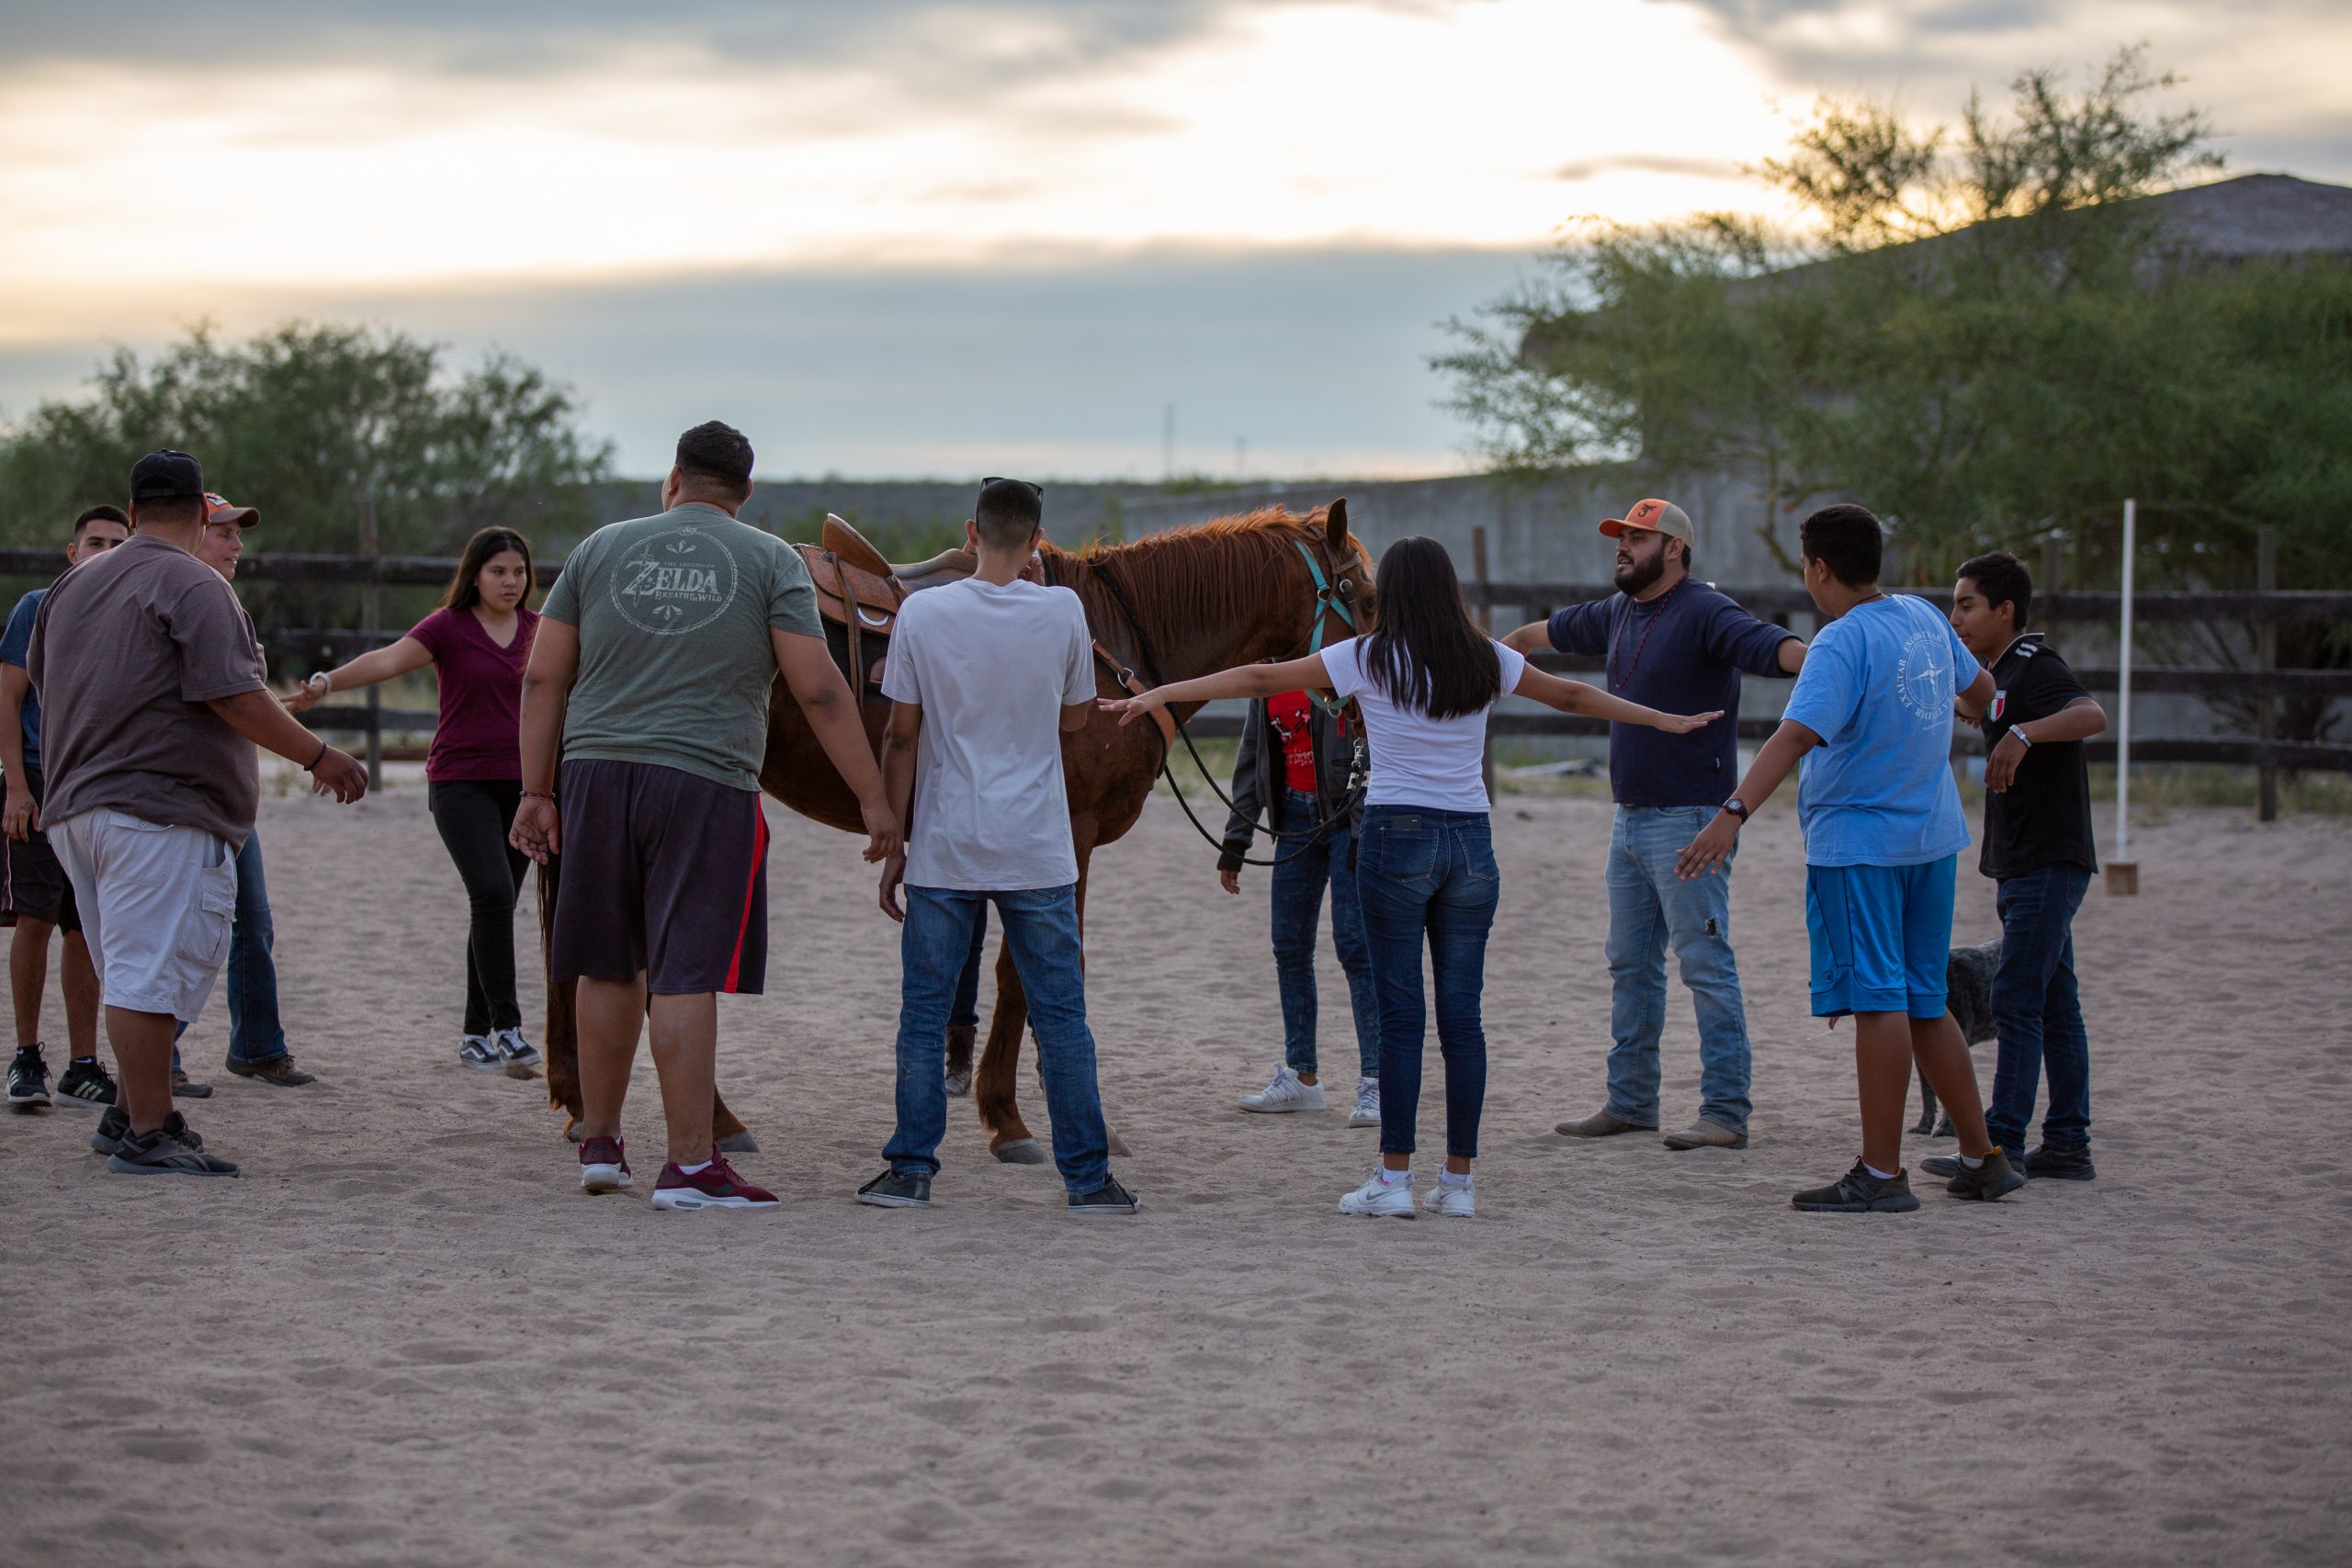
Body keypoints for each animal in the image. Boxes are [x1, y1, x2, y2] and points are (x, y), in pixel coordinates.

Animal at [538, 502, 1374, 1166]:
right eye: (1362, 596)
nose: (1373, 696)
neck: (1109, 648)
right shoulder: (1065, 832)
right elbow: (1031, 974)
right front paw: (1017, 1120)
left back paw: (583, 1098)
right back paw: (701, 1118)